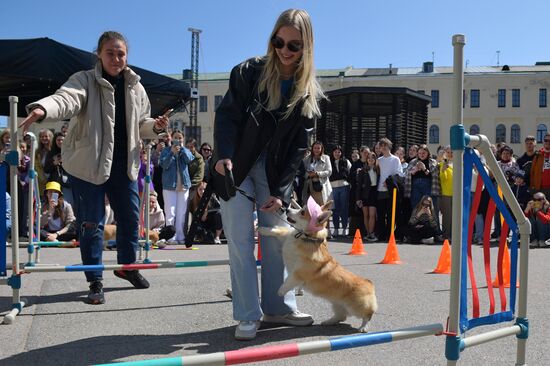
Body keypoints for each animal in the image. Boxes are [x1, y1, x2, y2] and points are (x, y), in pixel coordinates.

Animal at [260, 197, 380, 332]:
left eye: (302, 212)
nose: (286, 209)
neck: (305, 237)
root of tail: (369, 283)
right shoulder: (286, 236)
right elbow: (277, 231)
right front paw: (262, 229)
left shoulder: (299, 273)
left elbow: (288, 281)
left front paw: (281, 291)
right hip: (336, 304)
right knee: (341, 316)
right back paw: (328, 322)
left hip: (356, 306)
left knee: (367, 315)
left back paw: (363, 327)